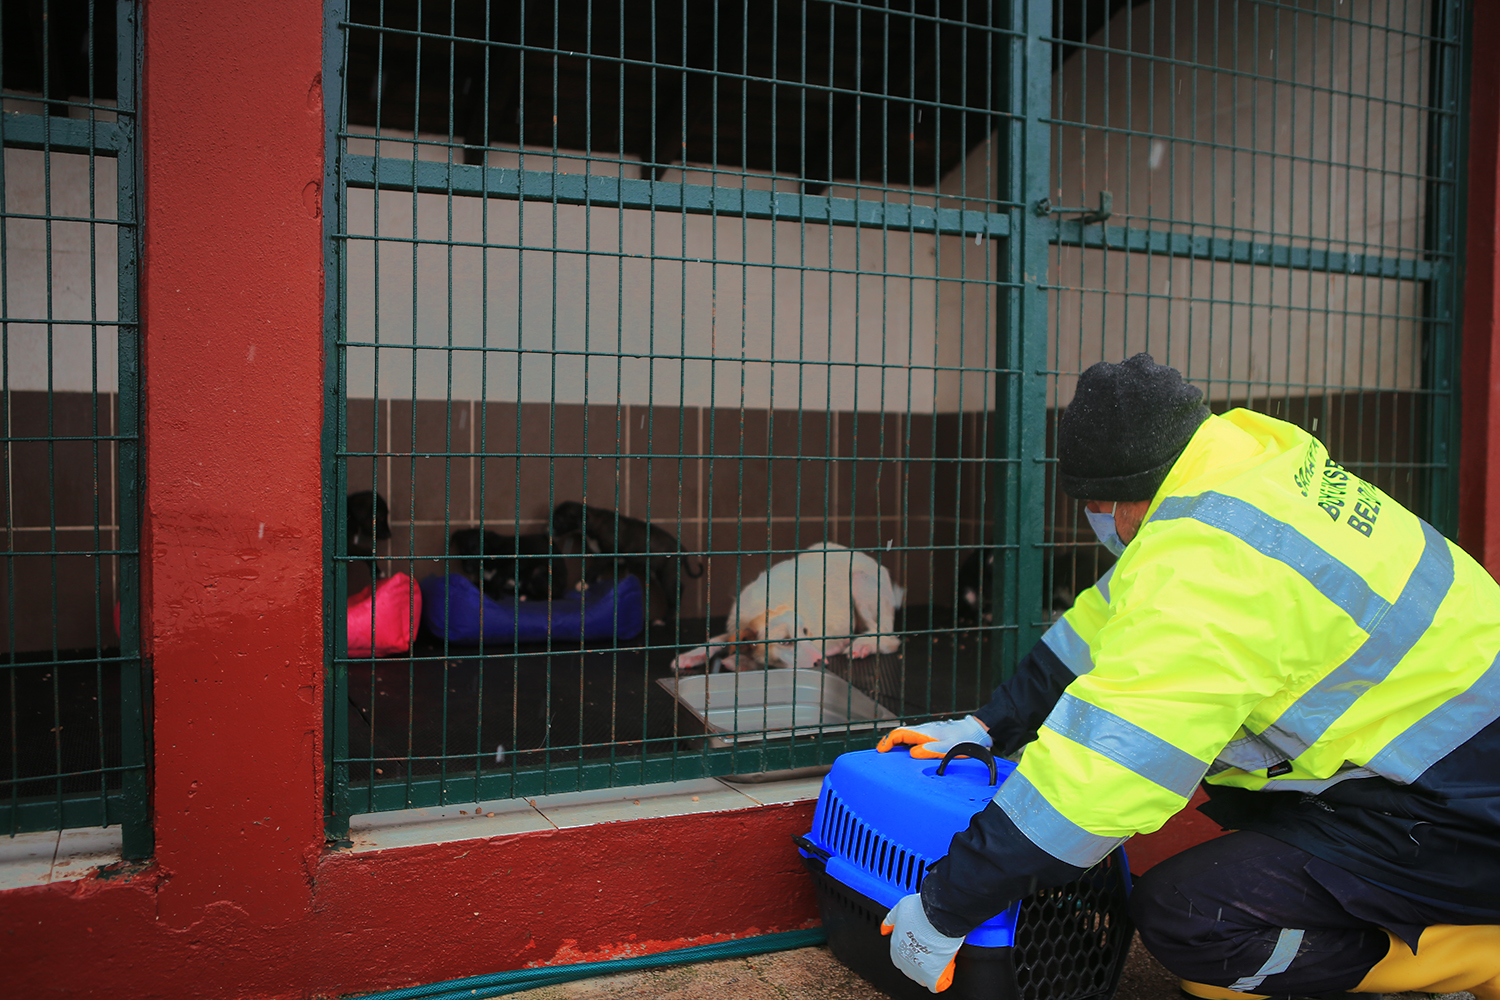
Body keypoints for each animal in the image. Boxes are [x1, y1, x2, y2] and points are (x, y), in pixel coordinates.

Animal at [552, 500, 702, 617]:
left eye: (559, 520)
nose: (548, 528)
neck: (593, 520)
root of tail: (682, 549)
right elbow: (597, 571)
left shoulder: (606, 555)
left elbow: (593, 569)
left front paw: (582, 584)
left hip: (666, 574)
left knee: (675, 592)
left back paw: (665, 619)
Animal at [672, 542, 900, 677]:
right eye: (785, 641)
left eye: (805, 632)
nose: (822, 661)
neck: (768, 604)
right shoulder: (734, 628)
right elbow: (715, 640)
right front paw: (693, 654)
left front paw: (741, 662)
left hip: (859, 580)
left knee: (888, 637)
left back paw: (862, 644)